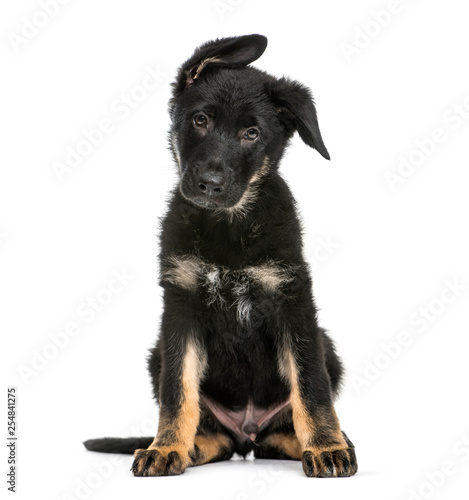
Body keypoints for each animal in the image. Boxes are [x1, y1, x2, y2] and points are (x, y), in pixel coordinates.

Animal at [84, 33, 356, 478]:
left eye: (251, 132)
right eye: (200, 120)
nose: (209, 184)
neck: (228, 226)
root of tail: (247, 431)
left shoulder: (293, 301)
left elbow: (311, 386)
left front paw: (326, 447)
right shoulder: (180, 308)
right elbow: (178, 390)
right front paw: (165, 446)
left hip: (326, 347)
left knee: (276, 436)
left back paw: (316, 442)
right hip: (157, 354)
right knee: (222, 438)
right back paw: (193, 446)